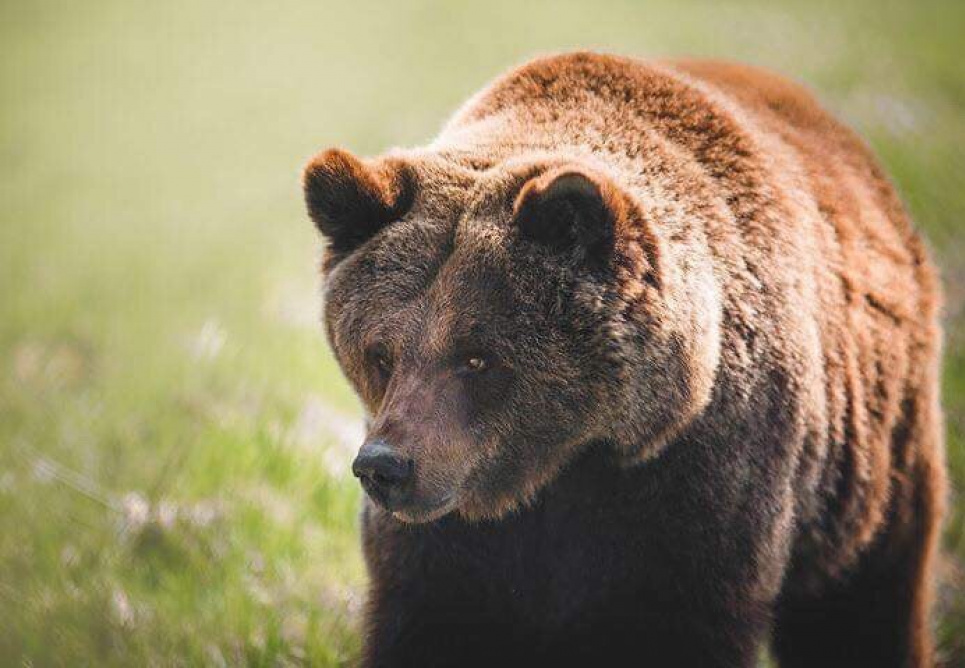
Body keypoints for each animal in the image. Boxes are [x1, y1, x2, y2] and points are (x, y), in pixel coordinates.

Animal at [306, 53, 944, 668]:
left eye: (477, 357)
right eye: (381, 353)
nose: (385, 466)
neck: (563, 460)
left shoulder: (692, 492)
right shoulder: (449, 541)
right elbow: (432, 620)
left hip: (867, 467)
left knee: (862, 607)